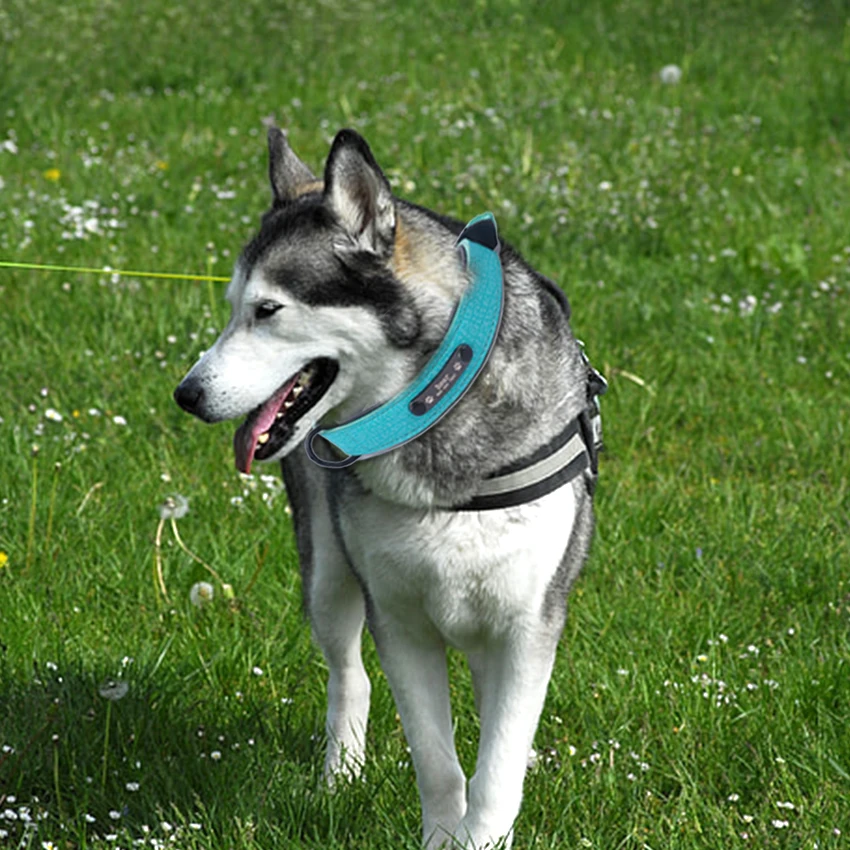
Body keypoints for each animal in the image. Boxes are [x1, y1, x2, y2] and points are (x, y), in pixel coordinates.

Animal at [172, 127, 600, 848]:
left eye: (267, 310)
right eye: (232, 309)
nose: (188, 394)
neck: (431, 401)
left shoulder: (528, 623)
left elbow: (496, 769)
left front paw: (485, 830)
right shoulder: (397, 622)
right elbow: (439, 764)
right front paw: (443, 834)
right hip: (326, 571)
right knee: (349, 674)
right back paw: (340, 773)